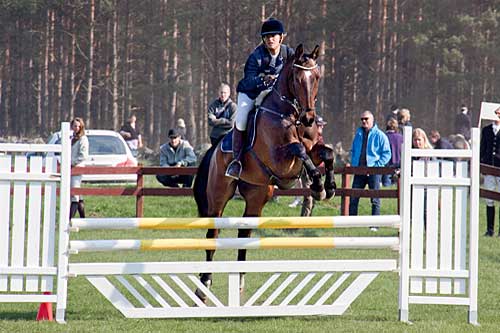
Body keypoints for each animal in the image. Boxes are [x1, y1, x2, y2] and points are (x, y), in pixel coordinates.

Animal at [192, 42, 336, 300]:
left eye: (317, 77)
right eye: (297, 78)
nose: (309, 118)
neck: (290, 114)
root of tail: (215, 147)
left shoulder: (313, 149)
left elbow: (327, 153)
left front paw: (327, 187)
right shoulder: (280, 159)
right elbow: (298, 149)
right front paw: (318, 185)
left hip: (257, 195)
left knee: (244, 234)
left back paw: (239, 281)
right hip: (218, 195)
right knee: (213, 235)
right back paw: (204, 285)